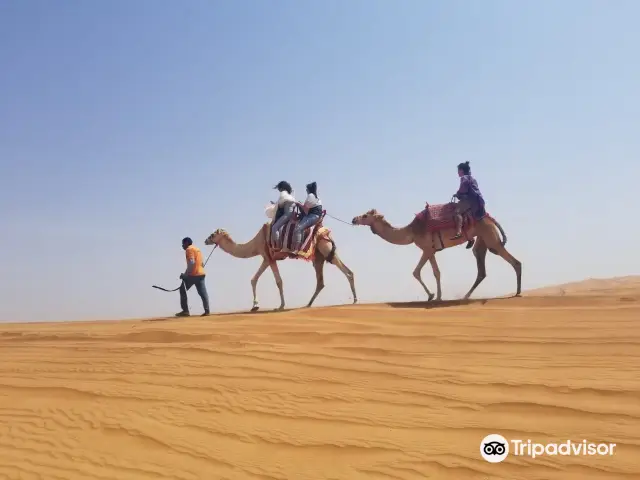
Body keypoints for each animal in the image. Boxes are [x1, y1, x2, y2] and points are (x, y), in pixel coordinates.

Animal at [204, 221, 357, 311]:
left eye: (212, 234)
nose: (205, 240)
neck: (255, 243)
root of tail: (326, 232)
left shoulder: (269, 257)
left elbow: (278, 281)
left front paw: (280, 306)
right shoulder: (266, 258)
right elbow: (254, 279)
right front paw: (255, 306)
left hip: (325, 248)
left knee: (347, 271)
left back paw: (355, 300)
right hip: (319, 256)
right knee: (320, 281)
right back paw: (308, 304)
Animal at [351, 205, 522, 300]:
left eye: (365, 215)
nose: (354, 219)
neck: (411, 231)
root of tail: (491, 218)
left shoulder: (426, 248)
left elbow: (422, 272)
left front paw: (434, 296)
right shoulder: (431, 250)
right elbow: (429, 272)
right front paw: (435, 295)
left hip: (490, 238)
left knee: (515, 261)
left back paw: (518, 292)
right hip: (482, 240)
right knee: (481, 267)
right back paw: (466, 296)